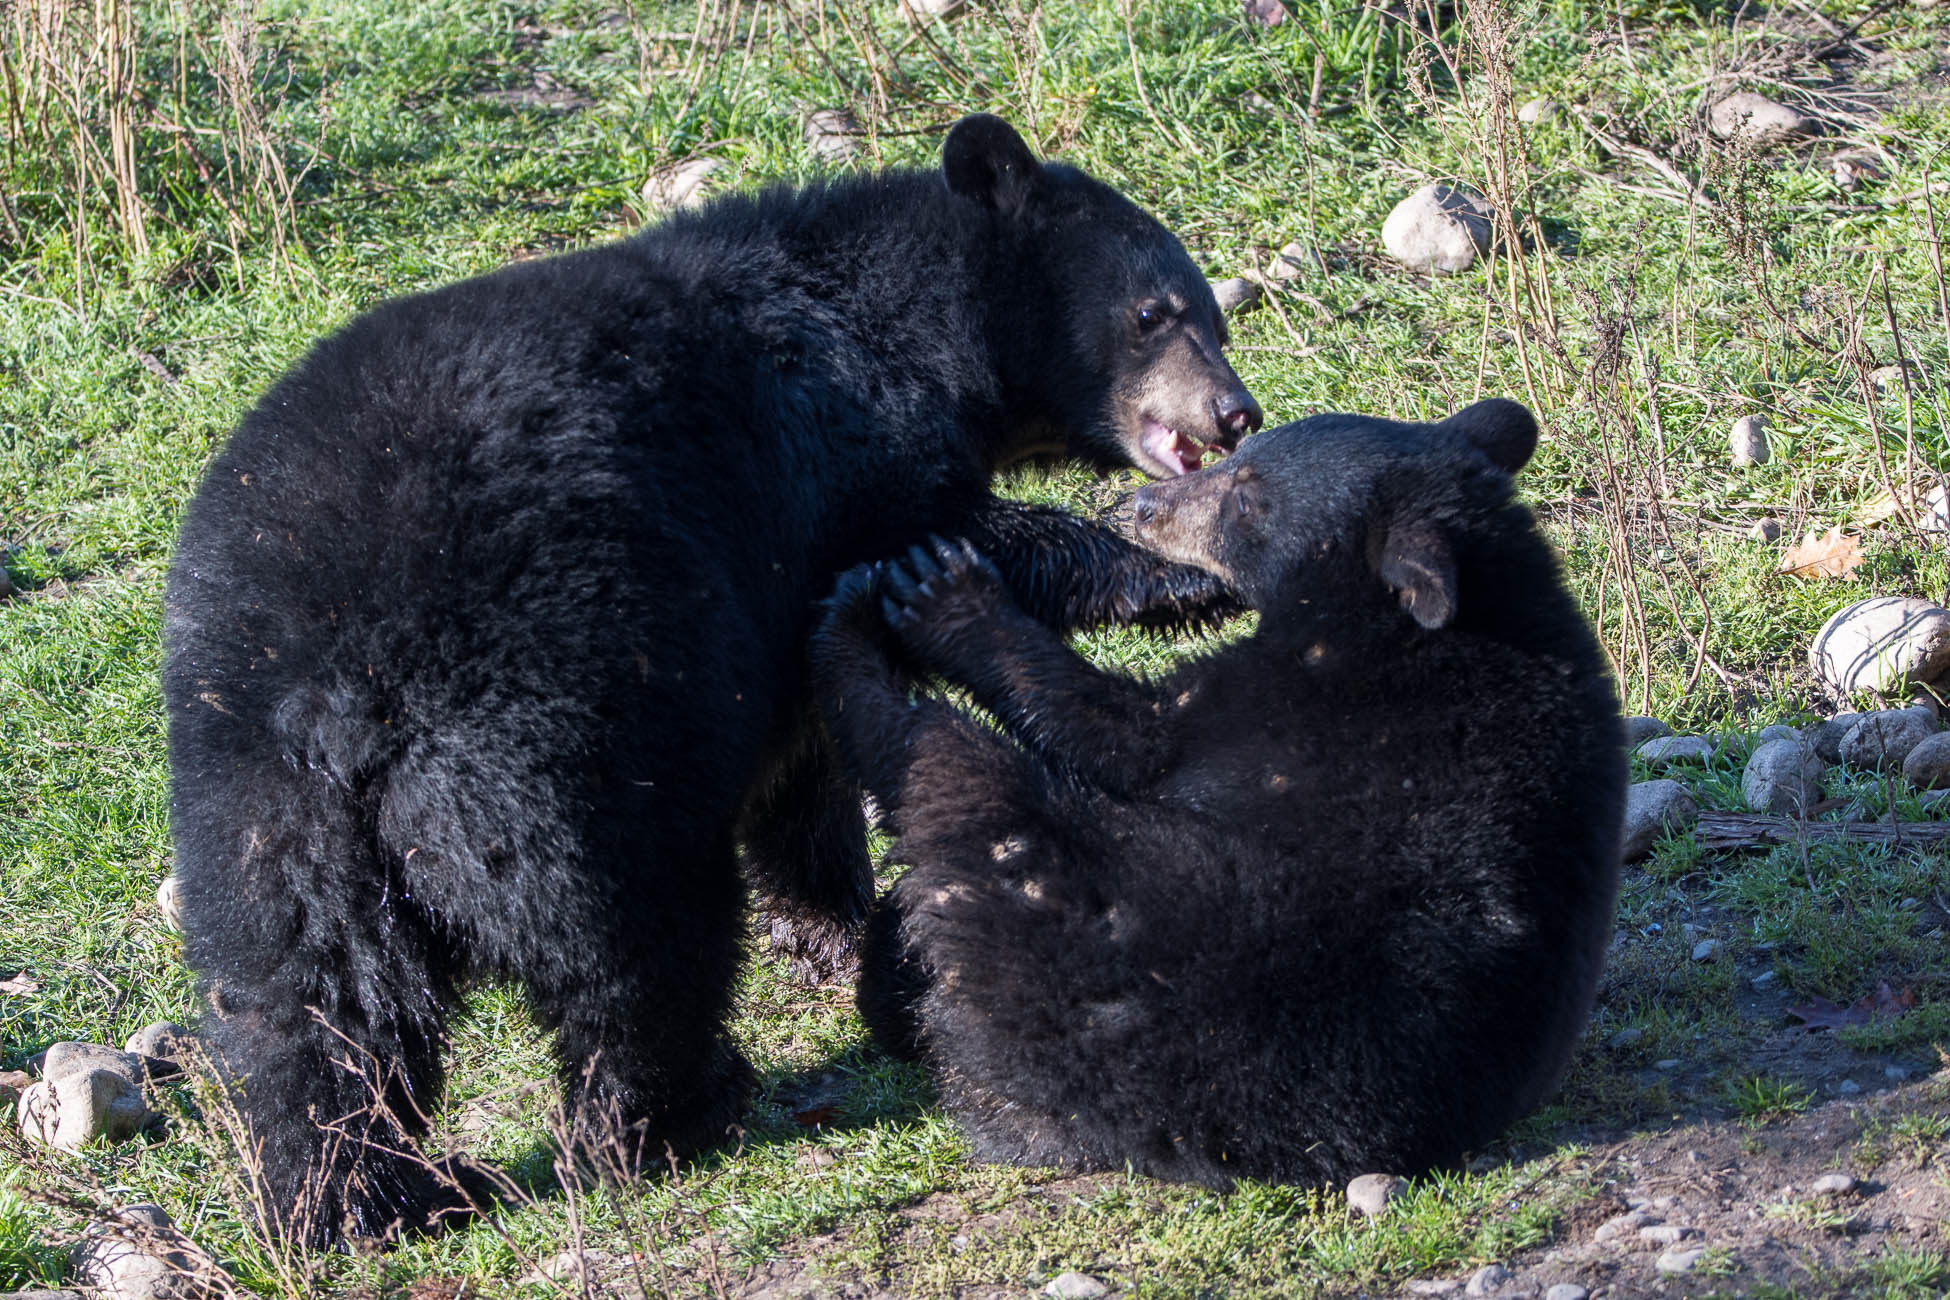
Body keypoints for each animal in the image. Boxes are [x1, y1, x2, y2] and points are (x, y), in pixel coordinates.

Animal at [167, 112, 1263, 1239]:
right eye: (1154, 313)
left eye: (1211, 316)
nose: (1236, 412)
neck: (904, 323)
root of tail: (344, 703)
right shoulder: (821, 473)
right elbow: (929, 557)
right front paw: (1173, 573)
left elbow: (803, 764)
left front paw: (828, 928)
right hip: (561, 737)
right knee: (633, 948)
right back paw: (668, 1115)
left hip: (259, 808)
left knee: (313, 1002)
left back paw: (355, 1197)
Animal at [815, 399, 1622, 1192]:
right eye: (1244, 458)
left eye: (1246, 499)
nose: (1139, 506)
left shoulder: (1276, 705)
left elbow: (1117, 728)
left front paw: (948, 594)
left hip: (1098, 941)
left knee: (951, 770)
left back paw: (855, 645)